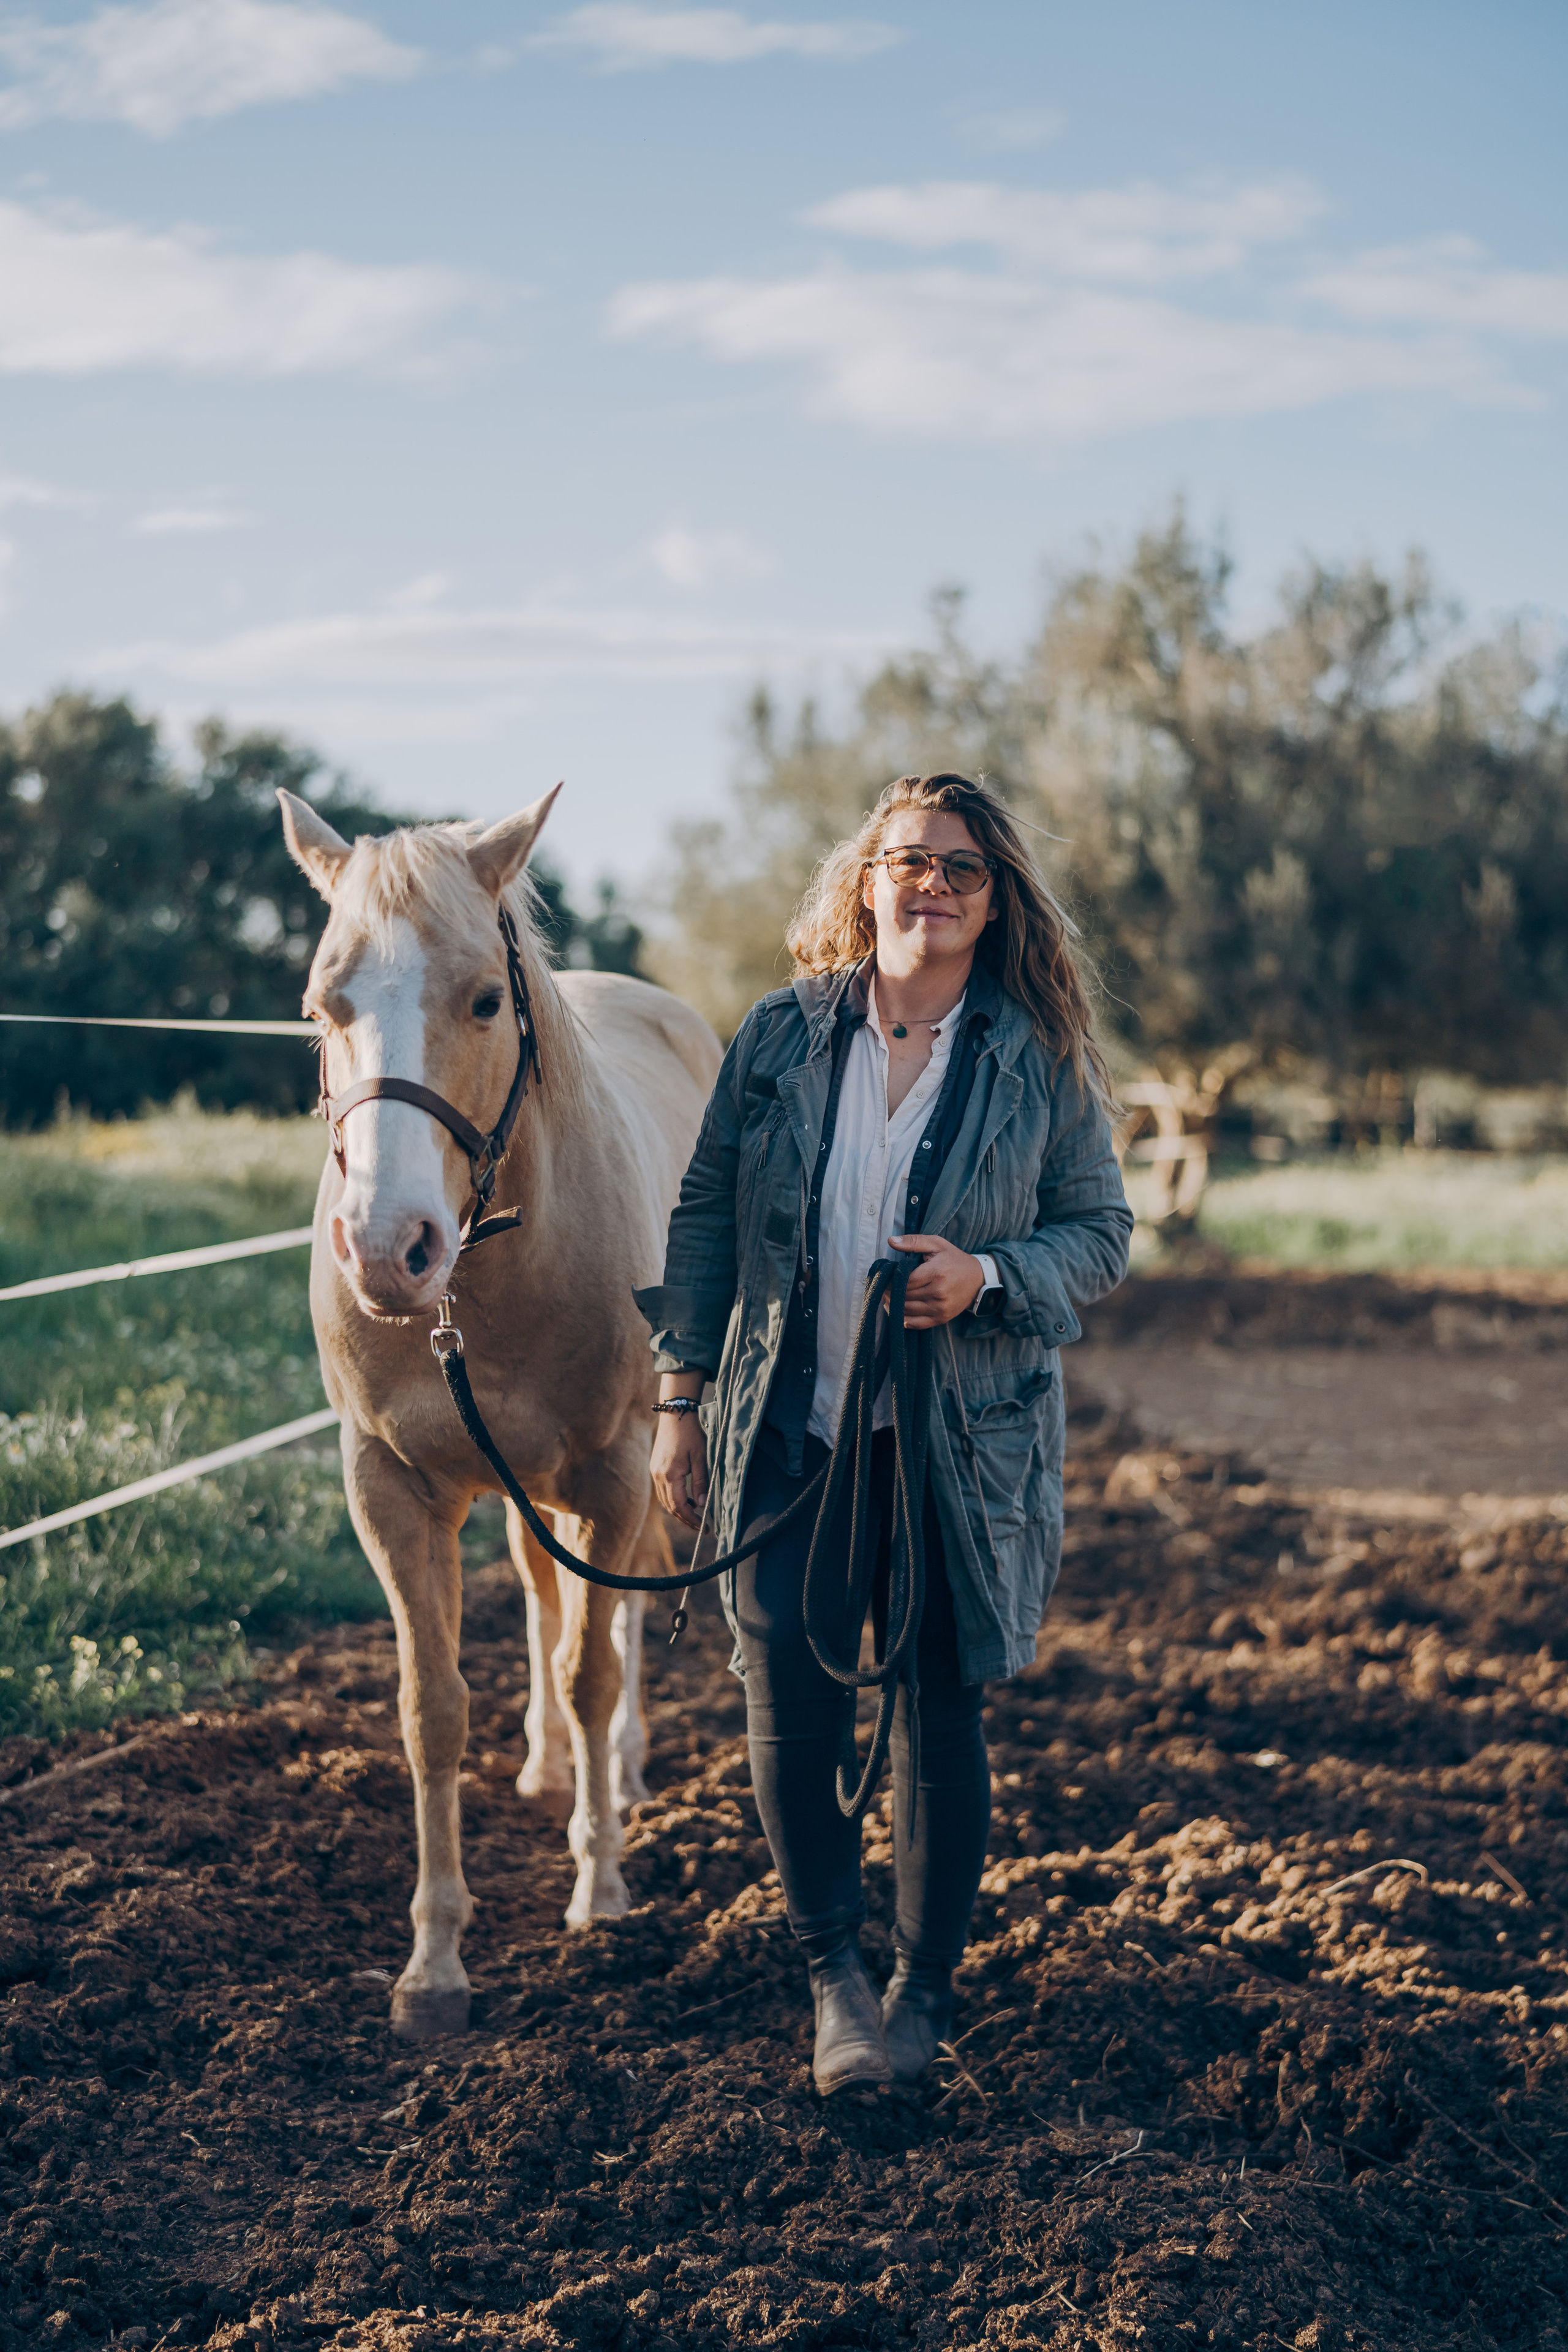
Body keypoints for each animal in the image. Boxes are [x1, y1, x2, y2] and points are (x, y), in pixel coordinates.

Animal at [278, 786, 722, 2040]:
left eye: (483, 997)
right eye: (320, 1006)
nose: (390, 1248)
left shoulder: (617, 1473)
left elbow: (593, 1669)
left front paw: (600, 1889)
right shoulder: (388, 1488)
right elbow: (432, 1708)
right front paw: (433, 1965)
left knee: (618, 1620)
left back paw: (618, 1772)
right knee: (539, 1593)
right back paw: (546, 1767)